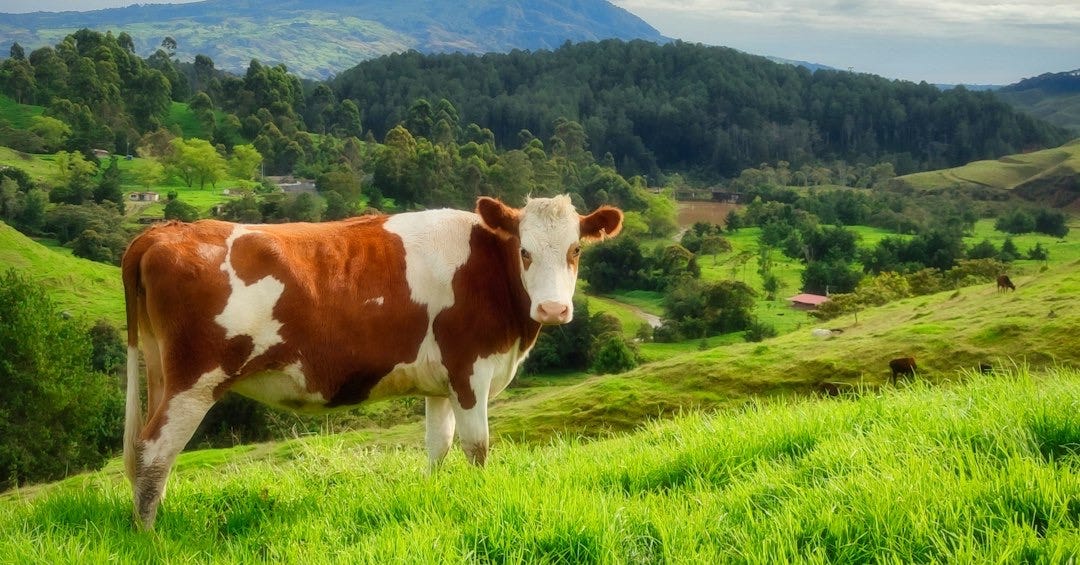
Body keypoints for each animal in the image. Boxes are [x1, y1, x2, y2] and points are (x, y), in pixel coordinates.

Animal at [121, 195, 623, 528]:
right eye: (525, 251)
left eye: (576, 250)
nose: (553, 309)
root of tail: (165, 231)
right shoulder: (470, 371)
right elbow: (476, 448)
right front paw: (481, 500)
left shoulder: (440, 383)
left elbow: (438, 446)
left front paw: (434, 496)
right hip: (195, 379)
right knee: (154, 450)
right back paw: (151, 534)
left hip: (161, 371)